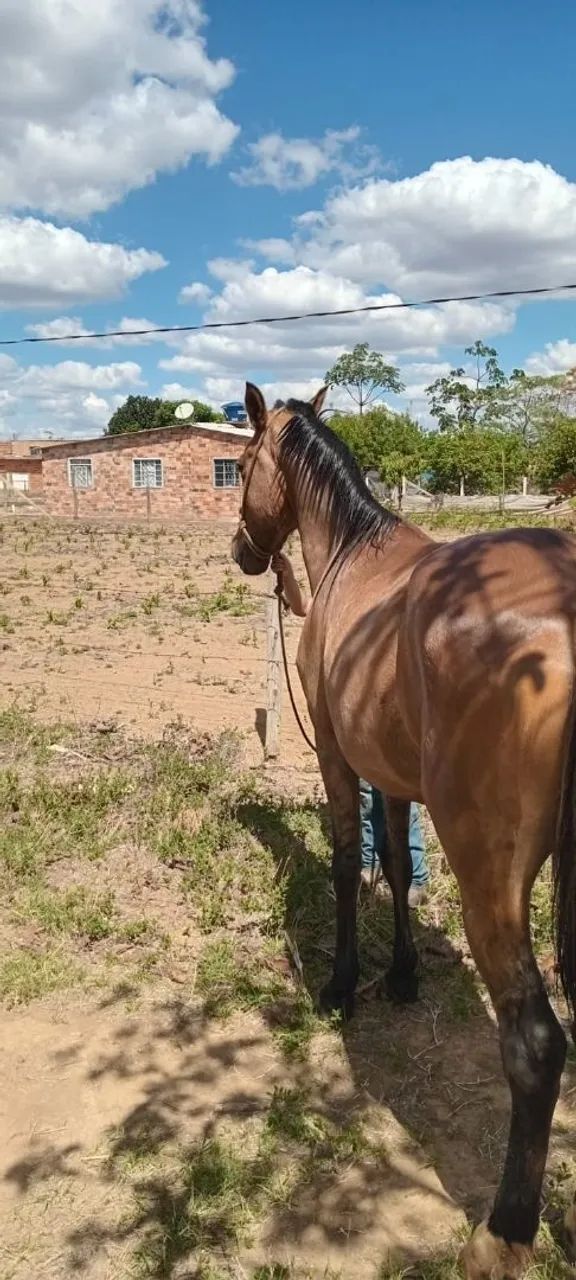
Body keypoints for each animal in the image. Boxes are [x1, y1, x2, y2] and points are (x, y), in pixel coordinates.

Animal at [231, 382, 576, 1279]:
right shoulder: (389, 774)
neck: (352, 554)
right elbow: (391, 860)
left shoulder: (338, 757)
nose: (244, 552)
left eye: (239, 465)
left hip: (491, 875)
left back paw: (502, 1236)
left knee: (536, 1045)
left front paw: (344, 985)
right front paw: (403, 974)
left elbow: (349, 863)